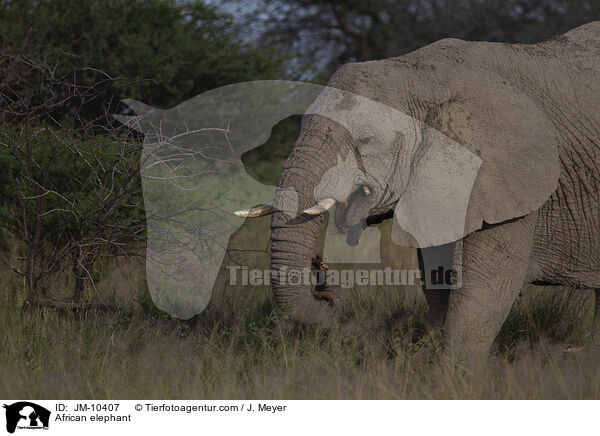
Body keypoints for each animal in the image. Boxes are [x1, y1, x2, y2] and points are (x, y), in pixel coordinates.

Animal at [239, 21, 600, 362]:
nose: (324, 283)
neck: (420, 72)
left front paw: (454, 377)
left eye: (366, 141)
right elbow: (438, 277)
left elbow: (487, 289)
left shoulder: (509, 181)